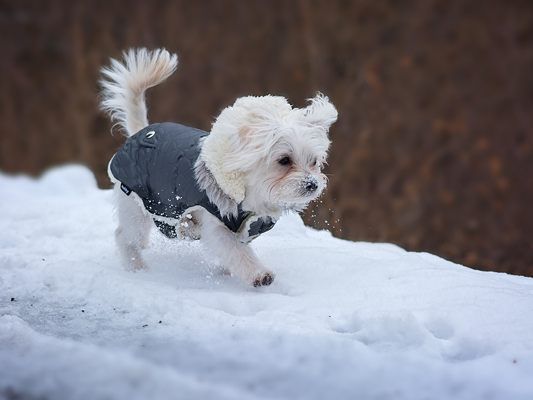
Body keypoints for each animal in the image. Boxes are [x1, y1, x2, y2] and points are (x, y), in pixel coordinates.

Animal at [100, 48, 336, 286]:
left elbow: (233, 253)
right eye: (284, 160)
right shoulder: (216, 224)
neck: (250, 196)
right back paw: (136, 266)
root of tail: (140, 132)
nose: (312, 184)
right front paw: (259, 274)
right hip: (135, 205)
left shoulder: (245, 228)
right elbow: (235, 251)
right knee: (125, 237)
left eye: (314, 162)